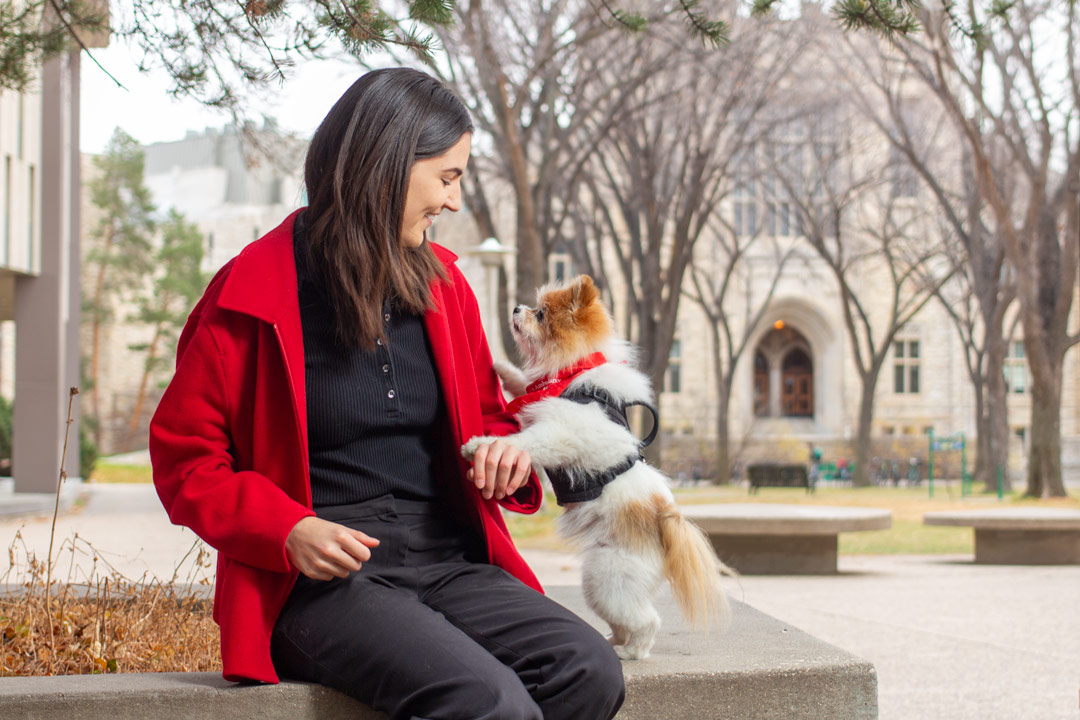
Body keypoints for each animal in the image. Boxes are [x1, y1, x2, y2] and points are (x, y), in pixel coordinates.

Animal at [460, 274, 730, 660]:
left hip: (608, 579)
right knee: (624, 620)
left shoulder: (558, 434)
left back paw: (629, 652)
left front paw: (478, 445)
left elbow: (522, 443)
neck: (572, 374)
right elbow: (523, 387)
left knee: (647, 621)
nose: (515, 308)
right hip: (604, 581)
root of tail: (665, 522)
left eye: (540, 314)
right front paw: (503, 369)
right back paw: (613, 641)